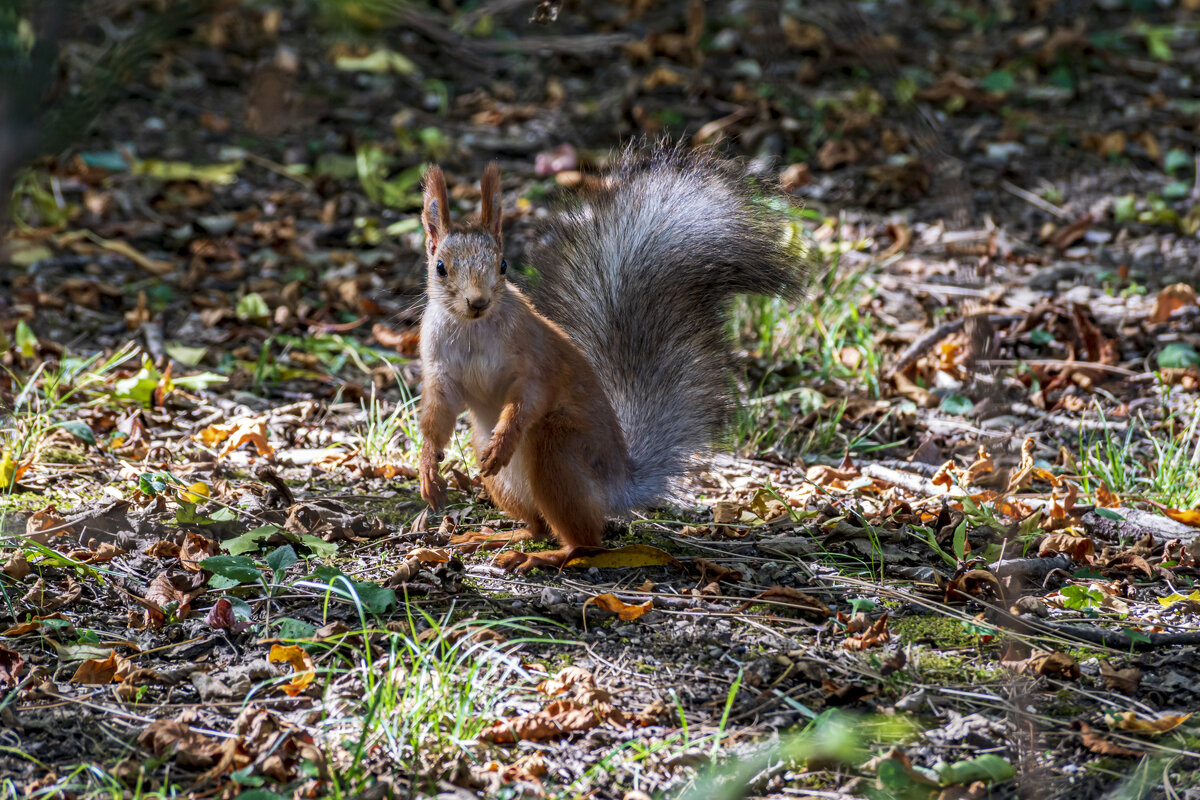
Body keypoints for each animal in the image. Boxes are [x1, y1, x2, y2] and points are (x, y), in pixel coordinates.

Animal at [415, 142, 806, 568]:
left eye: (503, 265)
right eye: (440, 268)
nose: (478, 302)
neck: (473, 331)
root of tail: (618, 483)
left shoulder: (535, 358)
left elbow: (529, 398)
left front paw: (502, 442)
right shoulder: (439, 368)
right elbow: (438, 414)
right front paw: (428, 472)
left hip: (559, 450)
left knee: (587, 540)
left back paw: (546, 555)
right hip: (503, 482)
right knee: (538, 525)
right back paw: (494, 536)